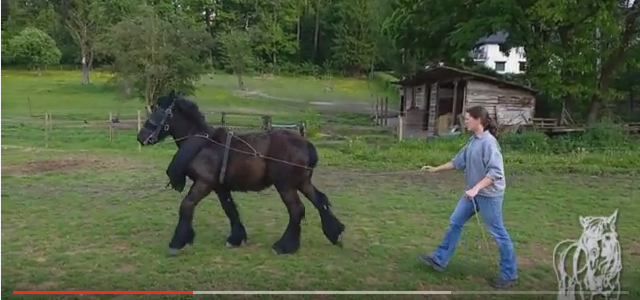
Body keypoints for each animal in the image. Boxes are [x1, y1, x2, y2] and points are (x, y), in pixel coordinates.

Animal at [136, 91, 344, 255]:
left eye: (159, 112)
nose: (141, 137)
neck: (204, 144)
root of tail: (306, 143)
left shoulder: (204, 183)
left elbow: (186, 205)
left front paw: (178, 242)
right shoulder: (220, 187)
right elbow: (230, 209)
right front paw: (236, 238)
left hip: (285, 185)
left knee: (296, 210)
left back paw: (284, 246)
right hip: (301, 182)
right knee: (319, 201)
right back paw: (334, 233)